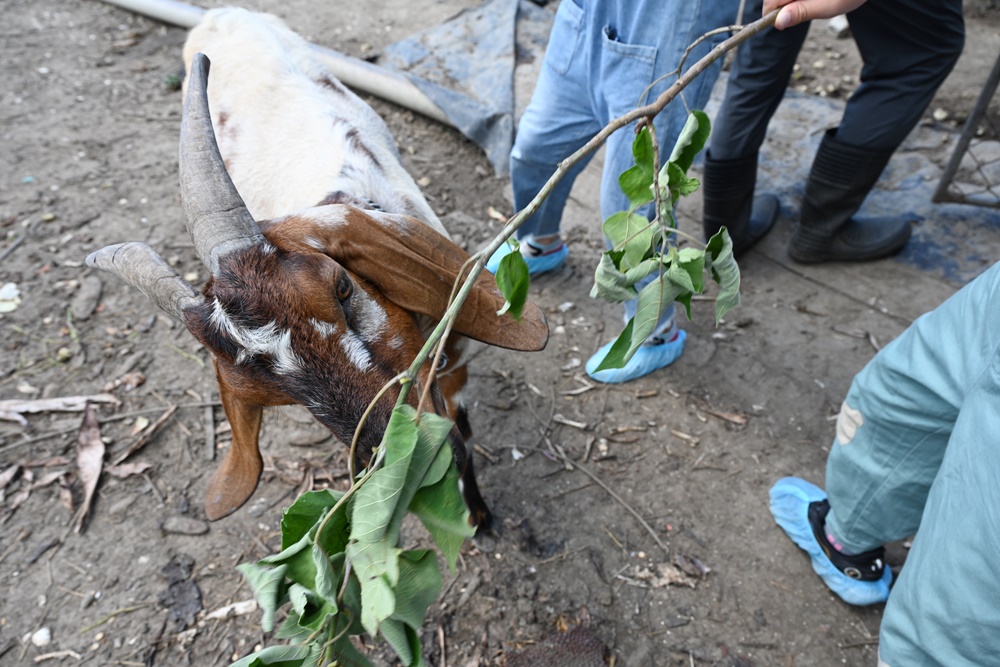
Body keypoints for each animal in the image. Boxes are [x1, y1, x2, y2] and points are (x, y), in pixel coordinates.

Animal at [88, 7, 548, 532]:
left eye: (342, 287)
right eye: (278, 395)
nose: (410, 470)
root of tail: (220, 12)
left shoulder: (457, 364)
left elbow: (465, 431)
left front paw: (481, 516)